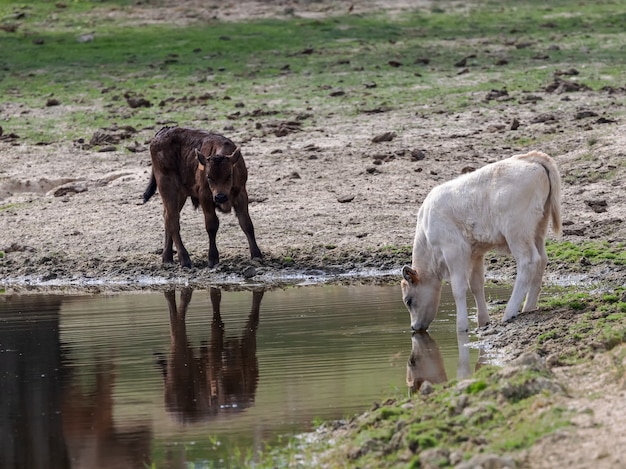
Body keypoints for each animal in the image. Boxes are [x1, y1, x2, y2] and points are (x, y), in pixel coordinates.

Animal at [144, 126, 260, 266]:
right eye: (209, 176)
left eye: (229, 175)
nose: (220, 197)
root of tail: (162, 132)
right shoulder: (205, 196)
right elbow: (211, 225)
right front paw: (213, 258)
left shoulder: (241, 193)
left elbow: (246, 223)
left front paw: (257, 255)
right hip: (168, 188)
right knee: (173, 221)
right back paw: (185, 259)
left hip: (180, 195)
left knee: (167, 217)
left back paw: (167, 258)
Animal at [400, 149, 560, 330]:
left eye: (408, 300)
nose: (414, 327)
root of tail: (530, 159)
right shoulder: (475, 253)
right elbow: (476, 285)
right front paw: (483, 321)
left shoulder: (454, 250)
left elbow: (459, 288)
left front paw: (461, 326)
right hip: (538, 229)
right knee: (542, 260)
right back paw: (529, 308)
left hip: (517, 233)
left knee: (529, 261)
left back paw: (509, 312)